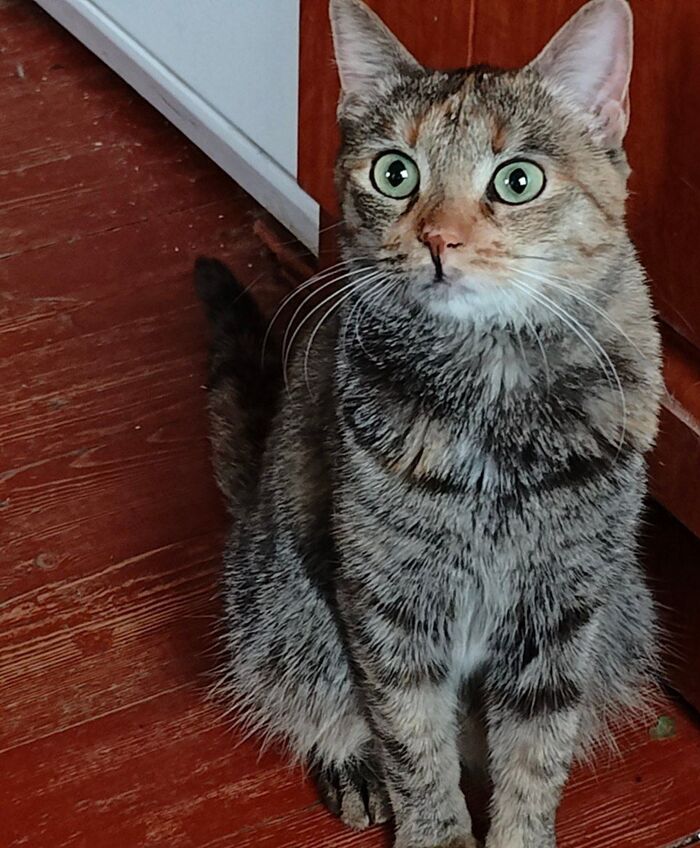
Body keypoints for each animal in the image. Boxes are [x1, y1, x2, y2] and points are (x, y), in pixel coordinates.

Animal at [194, 0, 663, 845]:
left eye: (517, 180)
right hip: (286, 606)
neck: (492, 395)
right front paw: (433, 826)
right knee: (312, 695)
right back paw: (352, 765)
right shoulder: (390, 605)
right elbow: (415, 747)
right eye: (395, 172)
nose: (439, 238)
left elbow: (536, 759)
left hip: (624, 614)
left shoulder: (562, 609)